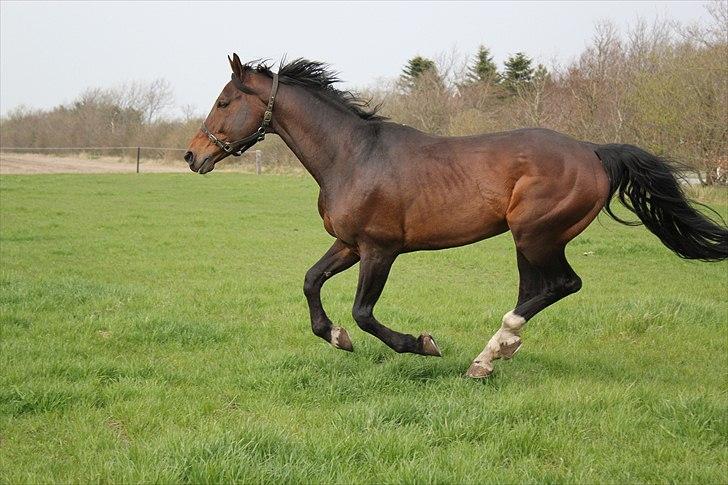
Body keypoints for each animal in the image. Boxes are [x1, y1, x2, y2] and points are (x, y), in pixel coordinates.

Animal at [183, 54, 728, 378]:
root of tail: (594, 151)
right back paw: (495, 354)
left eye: (224, 101)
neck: (352, 156)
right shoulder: (349, 244)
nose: (192, 156)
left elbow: (364, 312)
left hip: (535, 235)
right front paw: (334, 337)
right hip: (531, 241)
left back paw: (487, 356)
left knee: (560, 285)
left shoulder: (380, 249)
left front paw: (422, 344)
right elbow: (311, 281)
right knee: (539, 289)